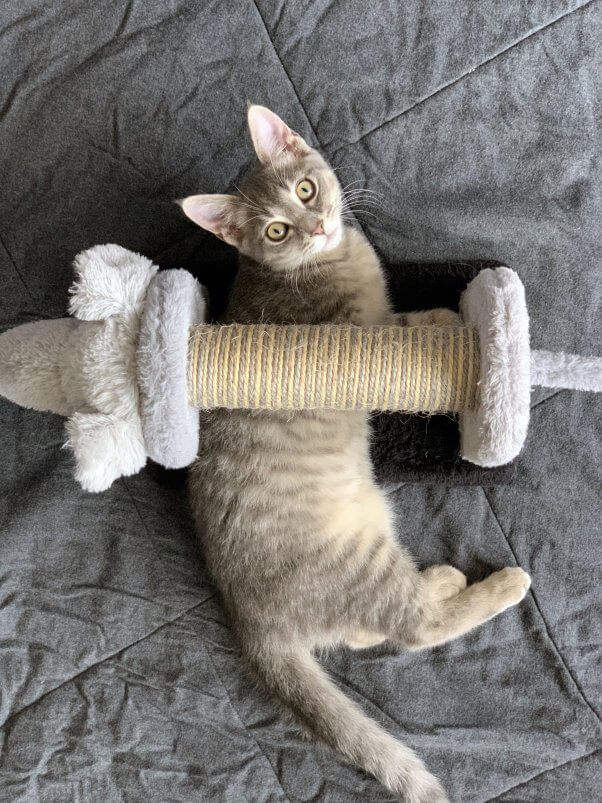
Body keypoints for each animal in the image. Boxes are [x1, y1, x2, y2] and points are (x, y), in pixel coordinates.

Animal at [180, 107, 528, 803]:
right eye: (277, 230)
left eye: (306, 190)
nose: (316, 224)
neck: (325, 259)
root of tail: (248, 618)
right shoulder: (365, 340)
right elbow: (412, 328)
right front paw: (454, 321)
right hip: (359, 563)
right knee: (414, 626)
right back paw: (496, 585)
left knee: (368, 628)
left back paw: (440, 578)